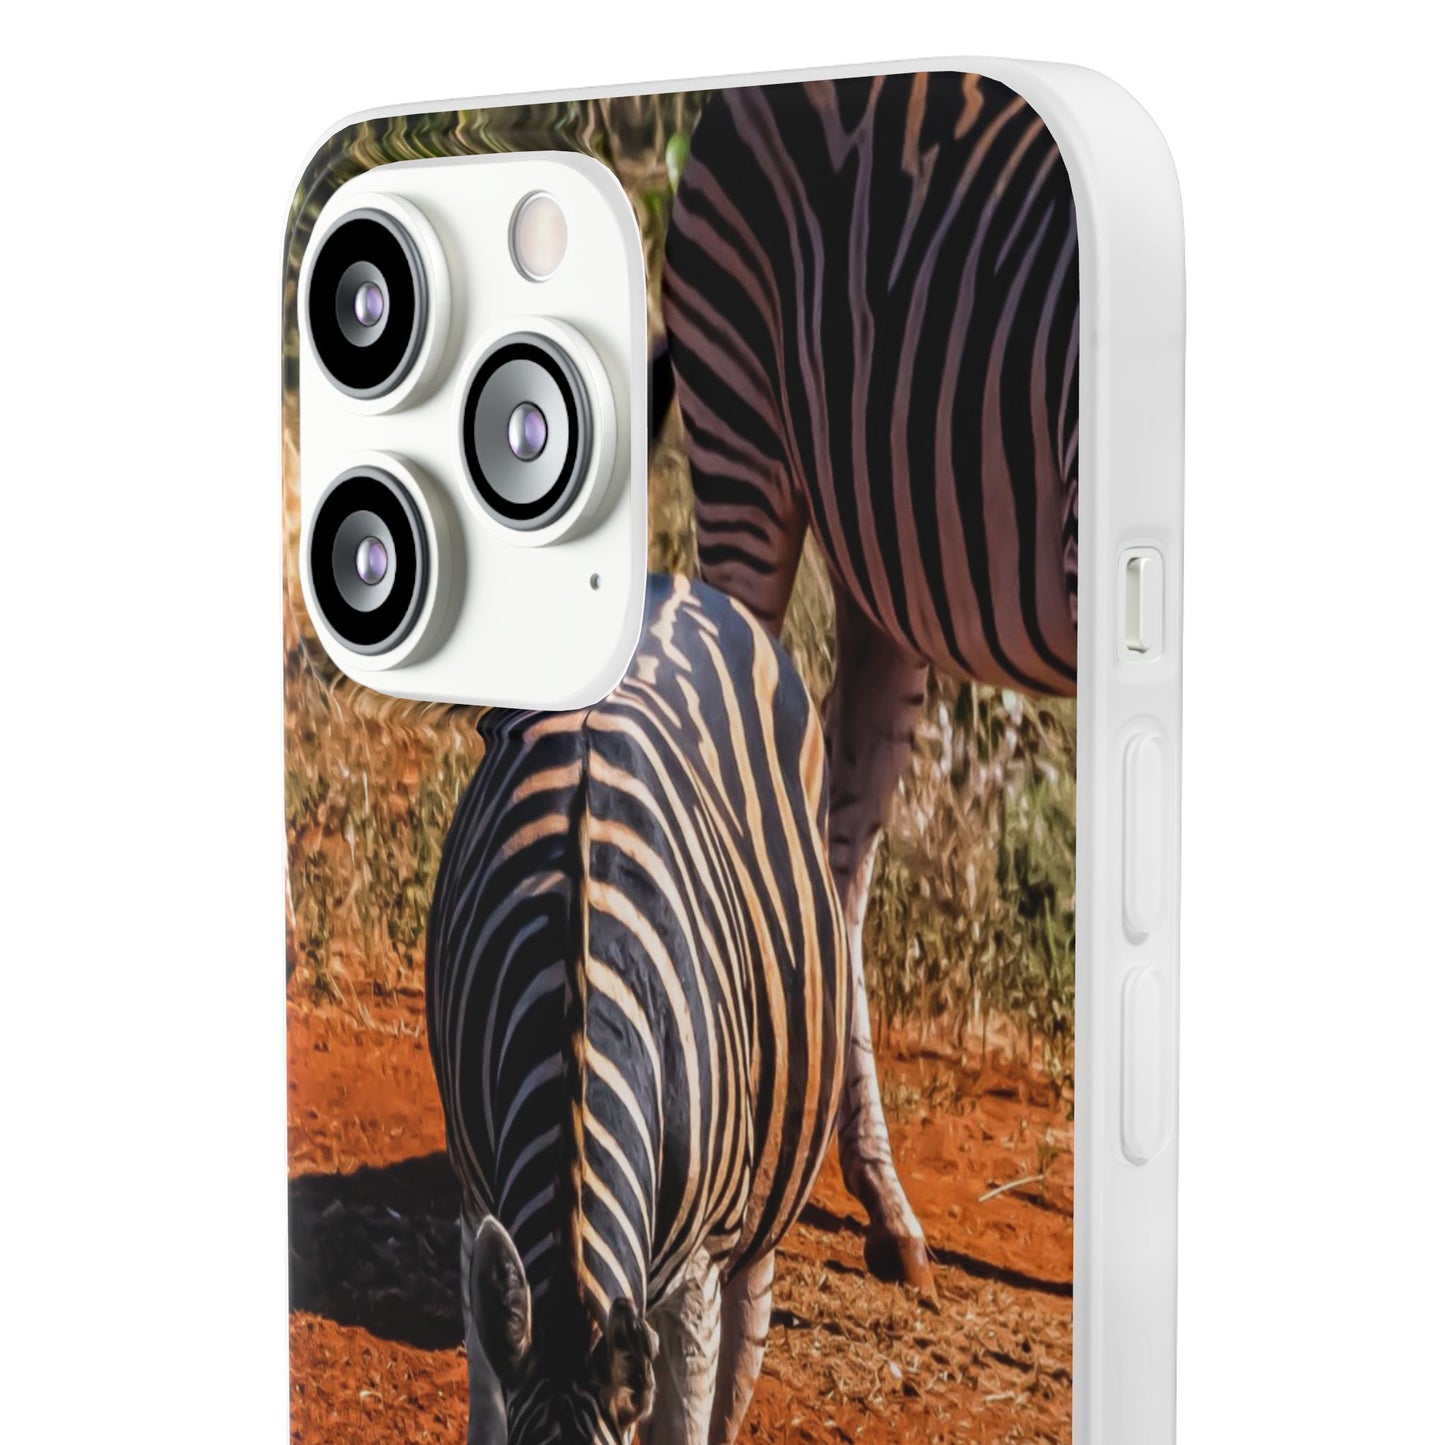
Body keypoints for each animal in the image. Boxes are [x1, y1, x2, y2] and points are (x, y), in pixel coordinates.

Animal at [426, 572, 848, 1444]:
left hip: (755, 1215)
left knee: (743, 1343)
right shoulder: (476, 1205)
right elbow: (486, 1403)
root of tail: (673, 581)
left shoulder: (694, 1274)